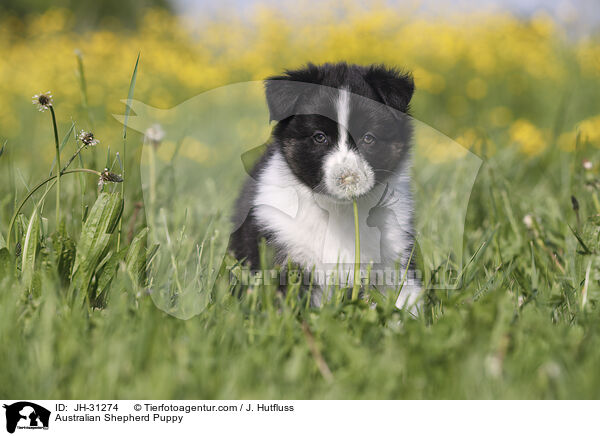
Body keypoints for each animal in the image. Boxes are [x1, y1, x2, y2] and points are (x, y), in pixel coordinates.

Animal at [230, 62, 422, 314]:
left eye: (368, 138)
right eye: (319, 137)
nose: (347, 178)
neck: (338, 212)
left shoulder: (395, 256)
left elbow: (403, 302)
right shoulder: (284, 252)